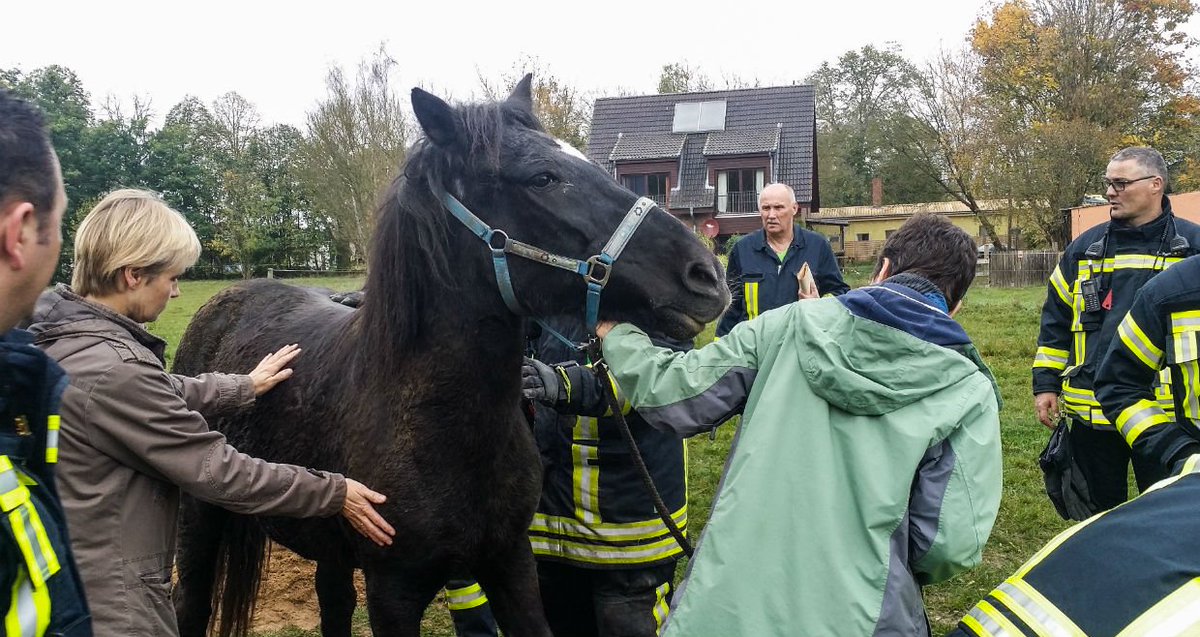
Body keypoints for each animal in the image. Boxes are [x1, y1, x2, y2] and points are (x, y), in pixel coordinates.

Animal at [169, 76, 729, 637]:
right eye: (543, 178)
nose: (705, 275)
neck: (443, 427)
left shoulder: (512, 565)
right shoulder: (393, 592)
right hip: (200, 522)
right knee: (190, 602)